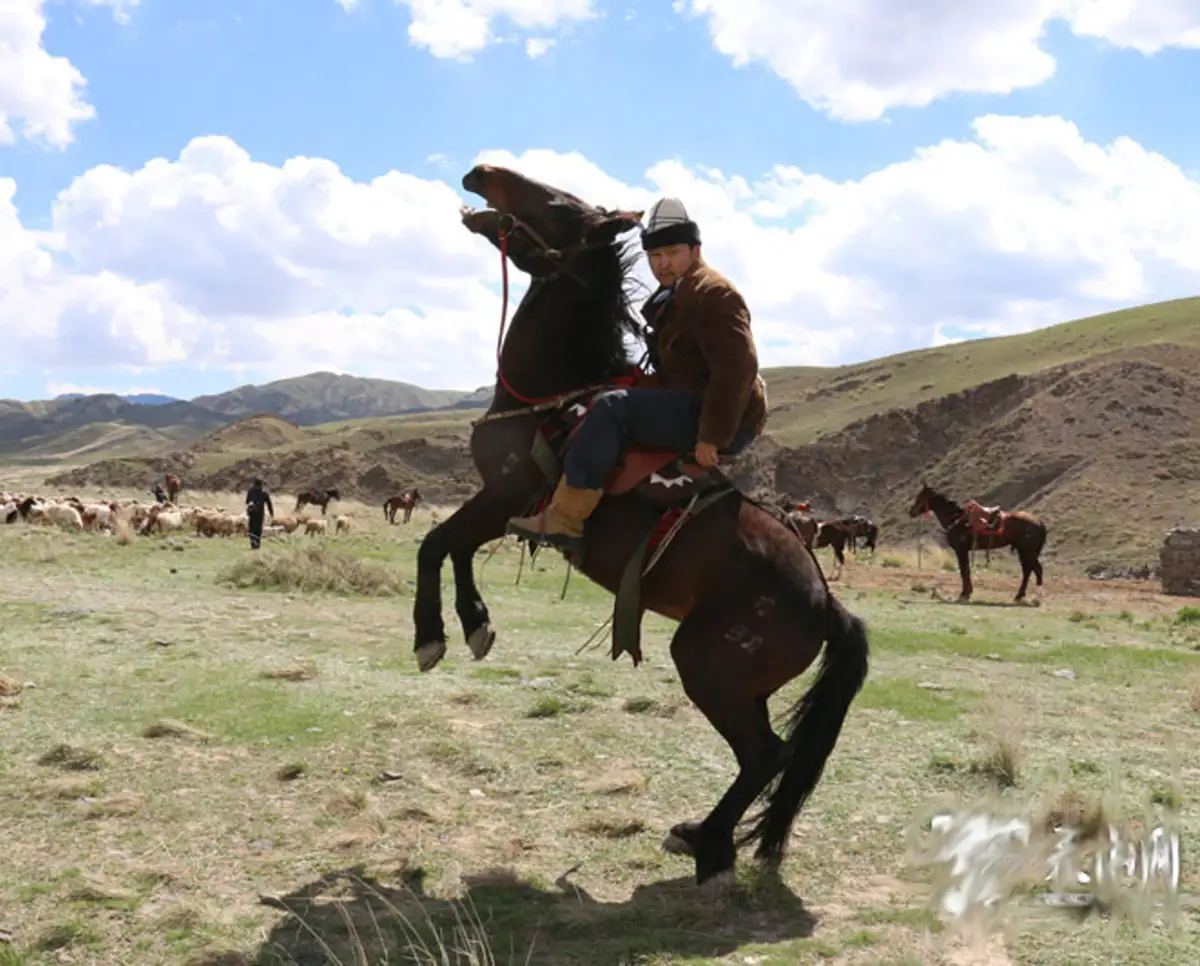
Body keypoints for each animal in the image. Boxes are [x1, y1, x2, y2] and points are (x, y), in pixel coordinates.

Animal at [412, 162, 873, 888]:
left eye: (558, 205)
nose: (482, 171)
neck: (555, 394)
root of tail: (827, 602)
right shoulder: (504, 506)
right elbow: (456, 549)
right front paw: (476, 624)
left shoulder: (505, 492)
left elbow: (434, 544)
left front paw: (431, 637)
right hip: (745, 684)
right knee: (766, 754)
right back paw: (704, 836)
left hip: (707, 664)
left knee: (764, 754)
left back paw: (709, 846)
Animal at [912, 482, 1046, 602]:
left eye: (920, 497)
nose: (911, 511)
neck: (957, 520)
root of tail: (1038, 521)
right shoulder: (964, 551)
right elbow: (966, 570)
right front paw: (968, 592)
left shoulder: (961, 550)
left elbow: (964, 570)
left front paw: (964, 594)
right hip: (1024, 551)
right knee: (1028, 571)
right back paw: (1019, 596)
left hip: (1027, 551)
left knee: (1037, 570)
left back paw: (1036, 598)